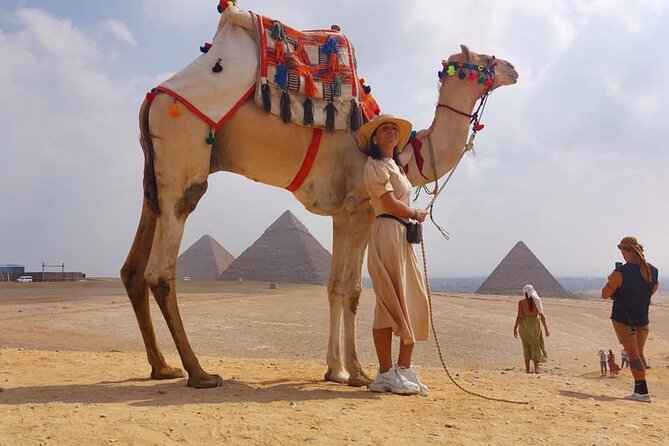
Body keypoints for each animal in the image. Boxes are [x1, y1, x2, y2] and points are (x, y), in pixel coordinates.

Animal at [120, 6, 518, 388]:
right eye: (485, 59)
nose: (512, 68)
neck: (403, 153)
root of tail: (153, 98)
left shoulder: (342, 213)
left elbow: (333, 287)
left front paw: (335, 370)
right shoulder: (361, 209)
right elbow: (353, 290)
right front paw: (357, 372)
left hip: (154, 178)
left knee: (134, 267)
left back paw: (163, 367)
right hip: (184, 158)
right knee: (161, 268)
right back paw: (199, 373)